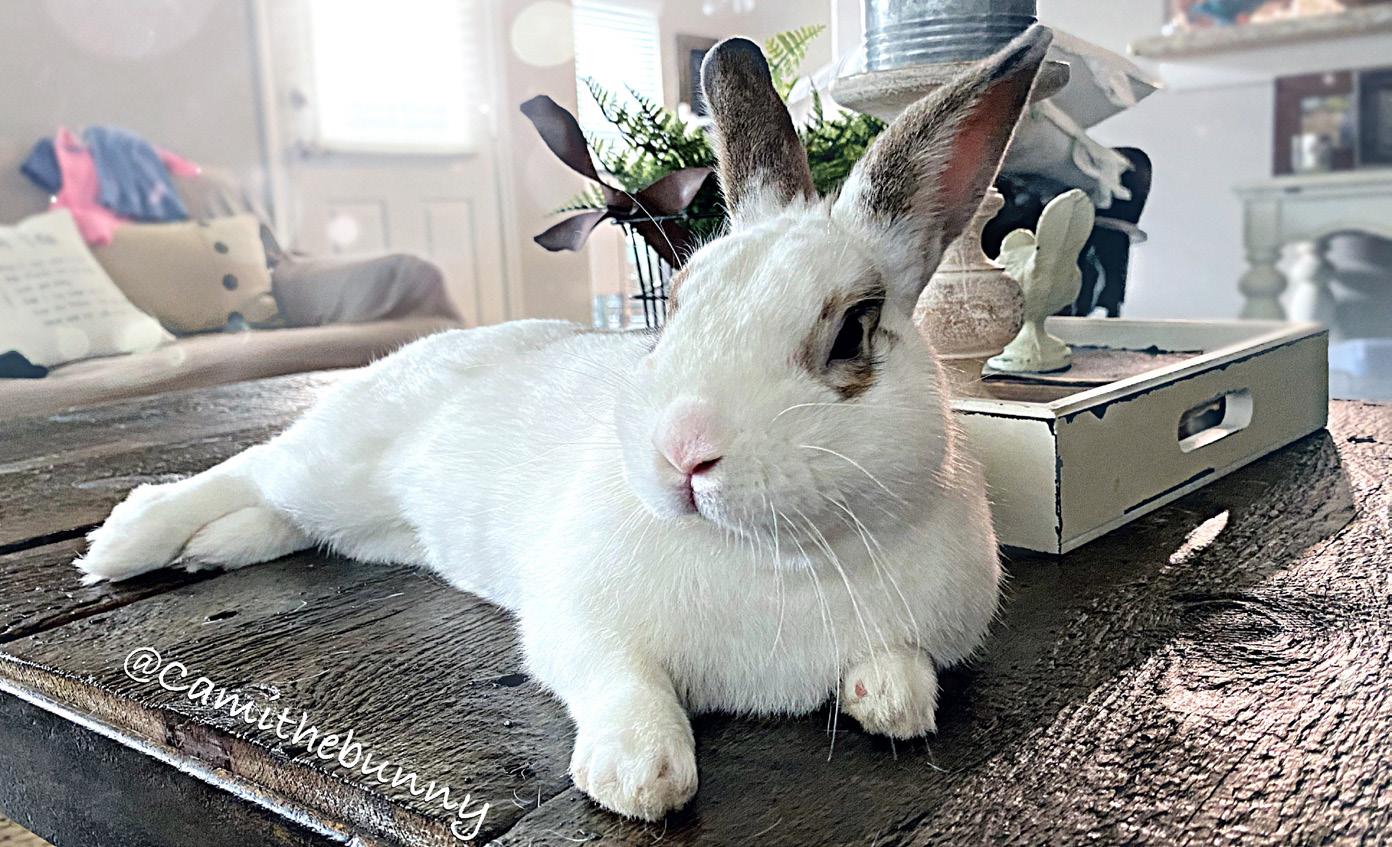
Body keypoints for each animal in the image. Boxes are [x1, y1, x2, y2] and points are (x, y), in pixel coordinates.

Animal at [76, 25, 1052, 821]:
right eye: (678, 306)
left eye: (853, 329)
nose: (682, 452)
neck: (777, 558)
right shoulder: (576, 622)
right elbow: (622, 682)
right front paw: (637, 773)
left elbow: (904, 667)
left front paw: (891, 699)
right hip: (334, 460)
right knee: (245, 466)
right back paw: (127, 543)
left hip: (363, 521)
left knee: (281, 513)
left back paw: (214, 548)